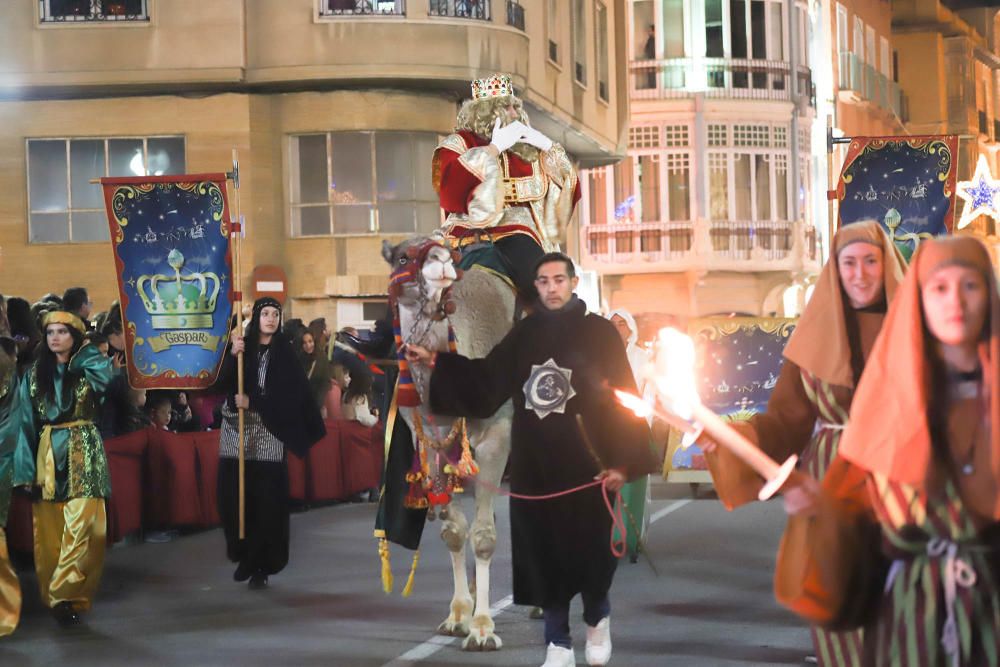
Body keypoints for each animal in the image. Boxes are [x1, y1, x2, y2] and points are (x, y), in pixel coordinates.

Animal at [378, 235, 512, 652]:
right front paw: (458, 617)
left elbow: (483, 536)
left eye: (446, 252)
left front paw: (483, 628)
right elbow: (454, 531)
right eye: (402, 256)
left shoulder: (497, 438)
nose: (439, 261)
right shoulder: (431, 445)